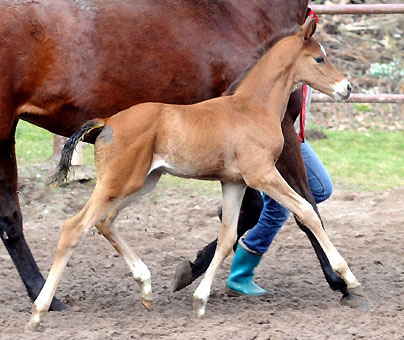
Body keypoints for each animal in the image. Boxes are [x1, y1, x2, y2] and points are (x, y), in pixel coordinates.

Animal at [0, 0, 366, 308]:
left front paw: (193, 277)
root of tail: (107, 122)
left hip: (140, 181)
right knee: (52, 223)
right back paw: (44, 299)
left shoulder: (236, 178)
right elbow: (306, 208)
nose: (346, 88)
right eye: (319, 58)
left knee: (95, 220)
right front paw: (344, 281)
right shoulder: (269, 162)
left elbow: (237, 226)